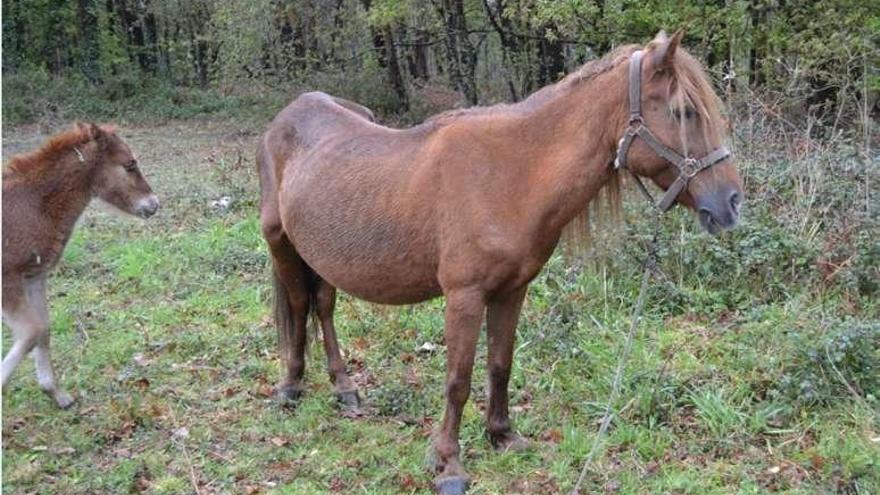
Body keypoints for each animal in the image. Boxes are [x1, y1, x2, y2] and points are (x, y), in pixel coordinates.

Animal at [1, 123, 158, 406]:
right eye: (129, 164)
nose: (154, 204)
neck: (31, 204)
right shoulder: (8, 279)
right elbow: (31, 331)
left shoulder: (34, 276)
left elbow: (43, 329)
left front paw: (55, 393)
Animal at [260, 32, 744, 495]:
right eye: (684, 112)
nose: (731, 203)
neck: (510, 174)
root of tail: (290, 113)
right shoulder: (464, 296)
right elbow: (458, 380)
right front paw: (448, 465)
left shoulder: (512, 290)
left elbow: (500, 363)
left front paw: (502, 435)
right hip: (281, 243)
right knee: (301, 305)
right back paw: (290, 386)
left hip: (323, 254)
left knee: (323, 307)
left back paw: (344, 388)